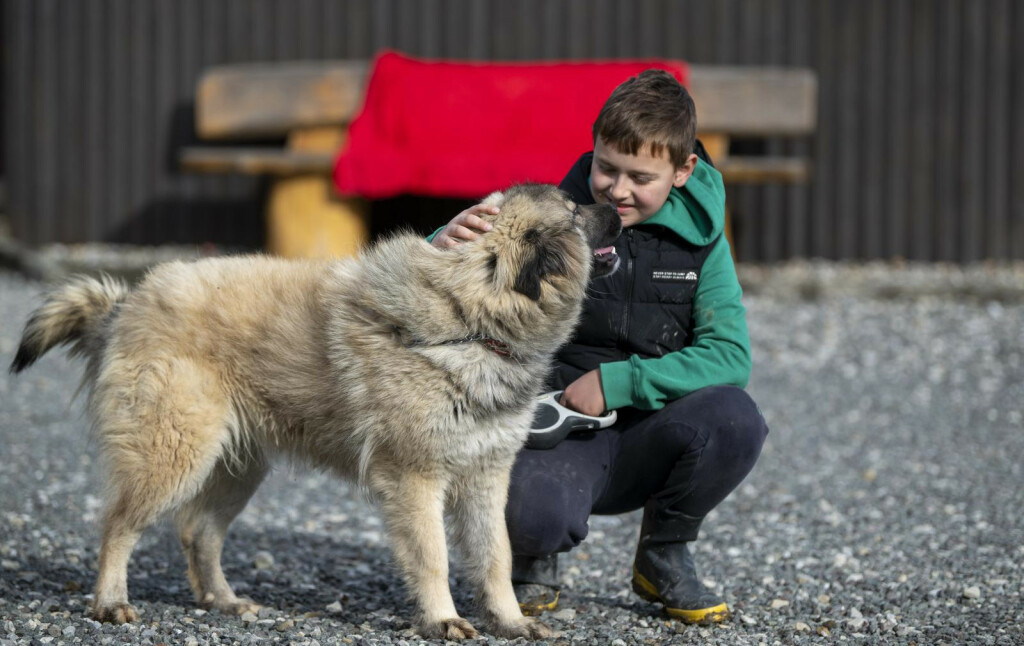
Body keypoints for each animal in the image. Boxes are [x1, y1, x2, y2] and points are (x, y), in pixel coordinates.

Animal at [8, 184, 618, 638]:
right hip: (173, 454)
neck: (469, 319)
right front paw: (444, 619)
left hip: (237, 469)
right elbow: (434, 557)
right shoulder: (415, 478)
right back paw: (110, 603)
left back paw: (223, 601)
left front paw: (511, 622)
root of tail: (129, 301)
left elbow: (495, 558)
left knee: (198, 532)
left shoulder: (486, 477)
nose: (615, 207)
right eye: (575, 210)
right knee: (118, 526)